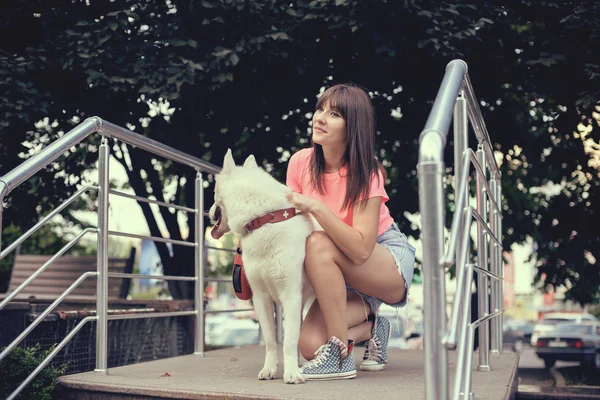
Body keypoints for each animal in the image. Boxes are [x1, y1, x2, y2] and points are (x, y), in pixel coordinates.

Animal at [209, 148, 316, 382]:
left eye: (212, 193)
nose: (209, 212)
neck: (265, 219)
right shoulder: (261, 297)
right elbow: (270, 340)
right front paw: (270, 369)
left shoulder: (290, 296)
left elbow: (289, 340)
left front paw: (291, 373)